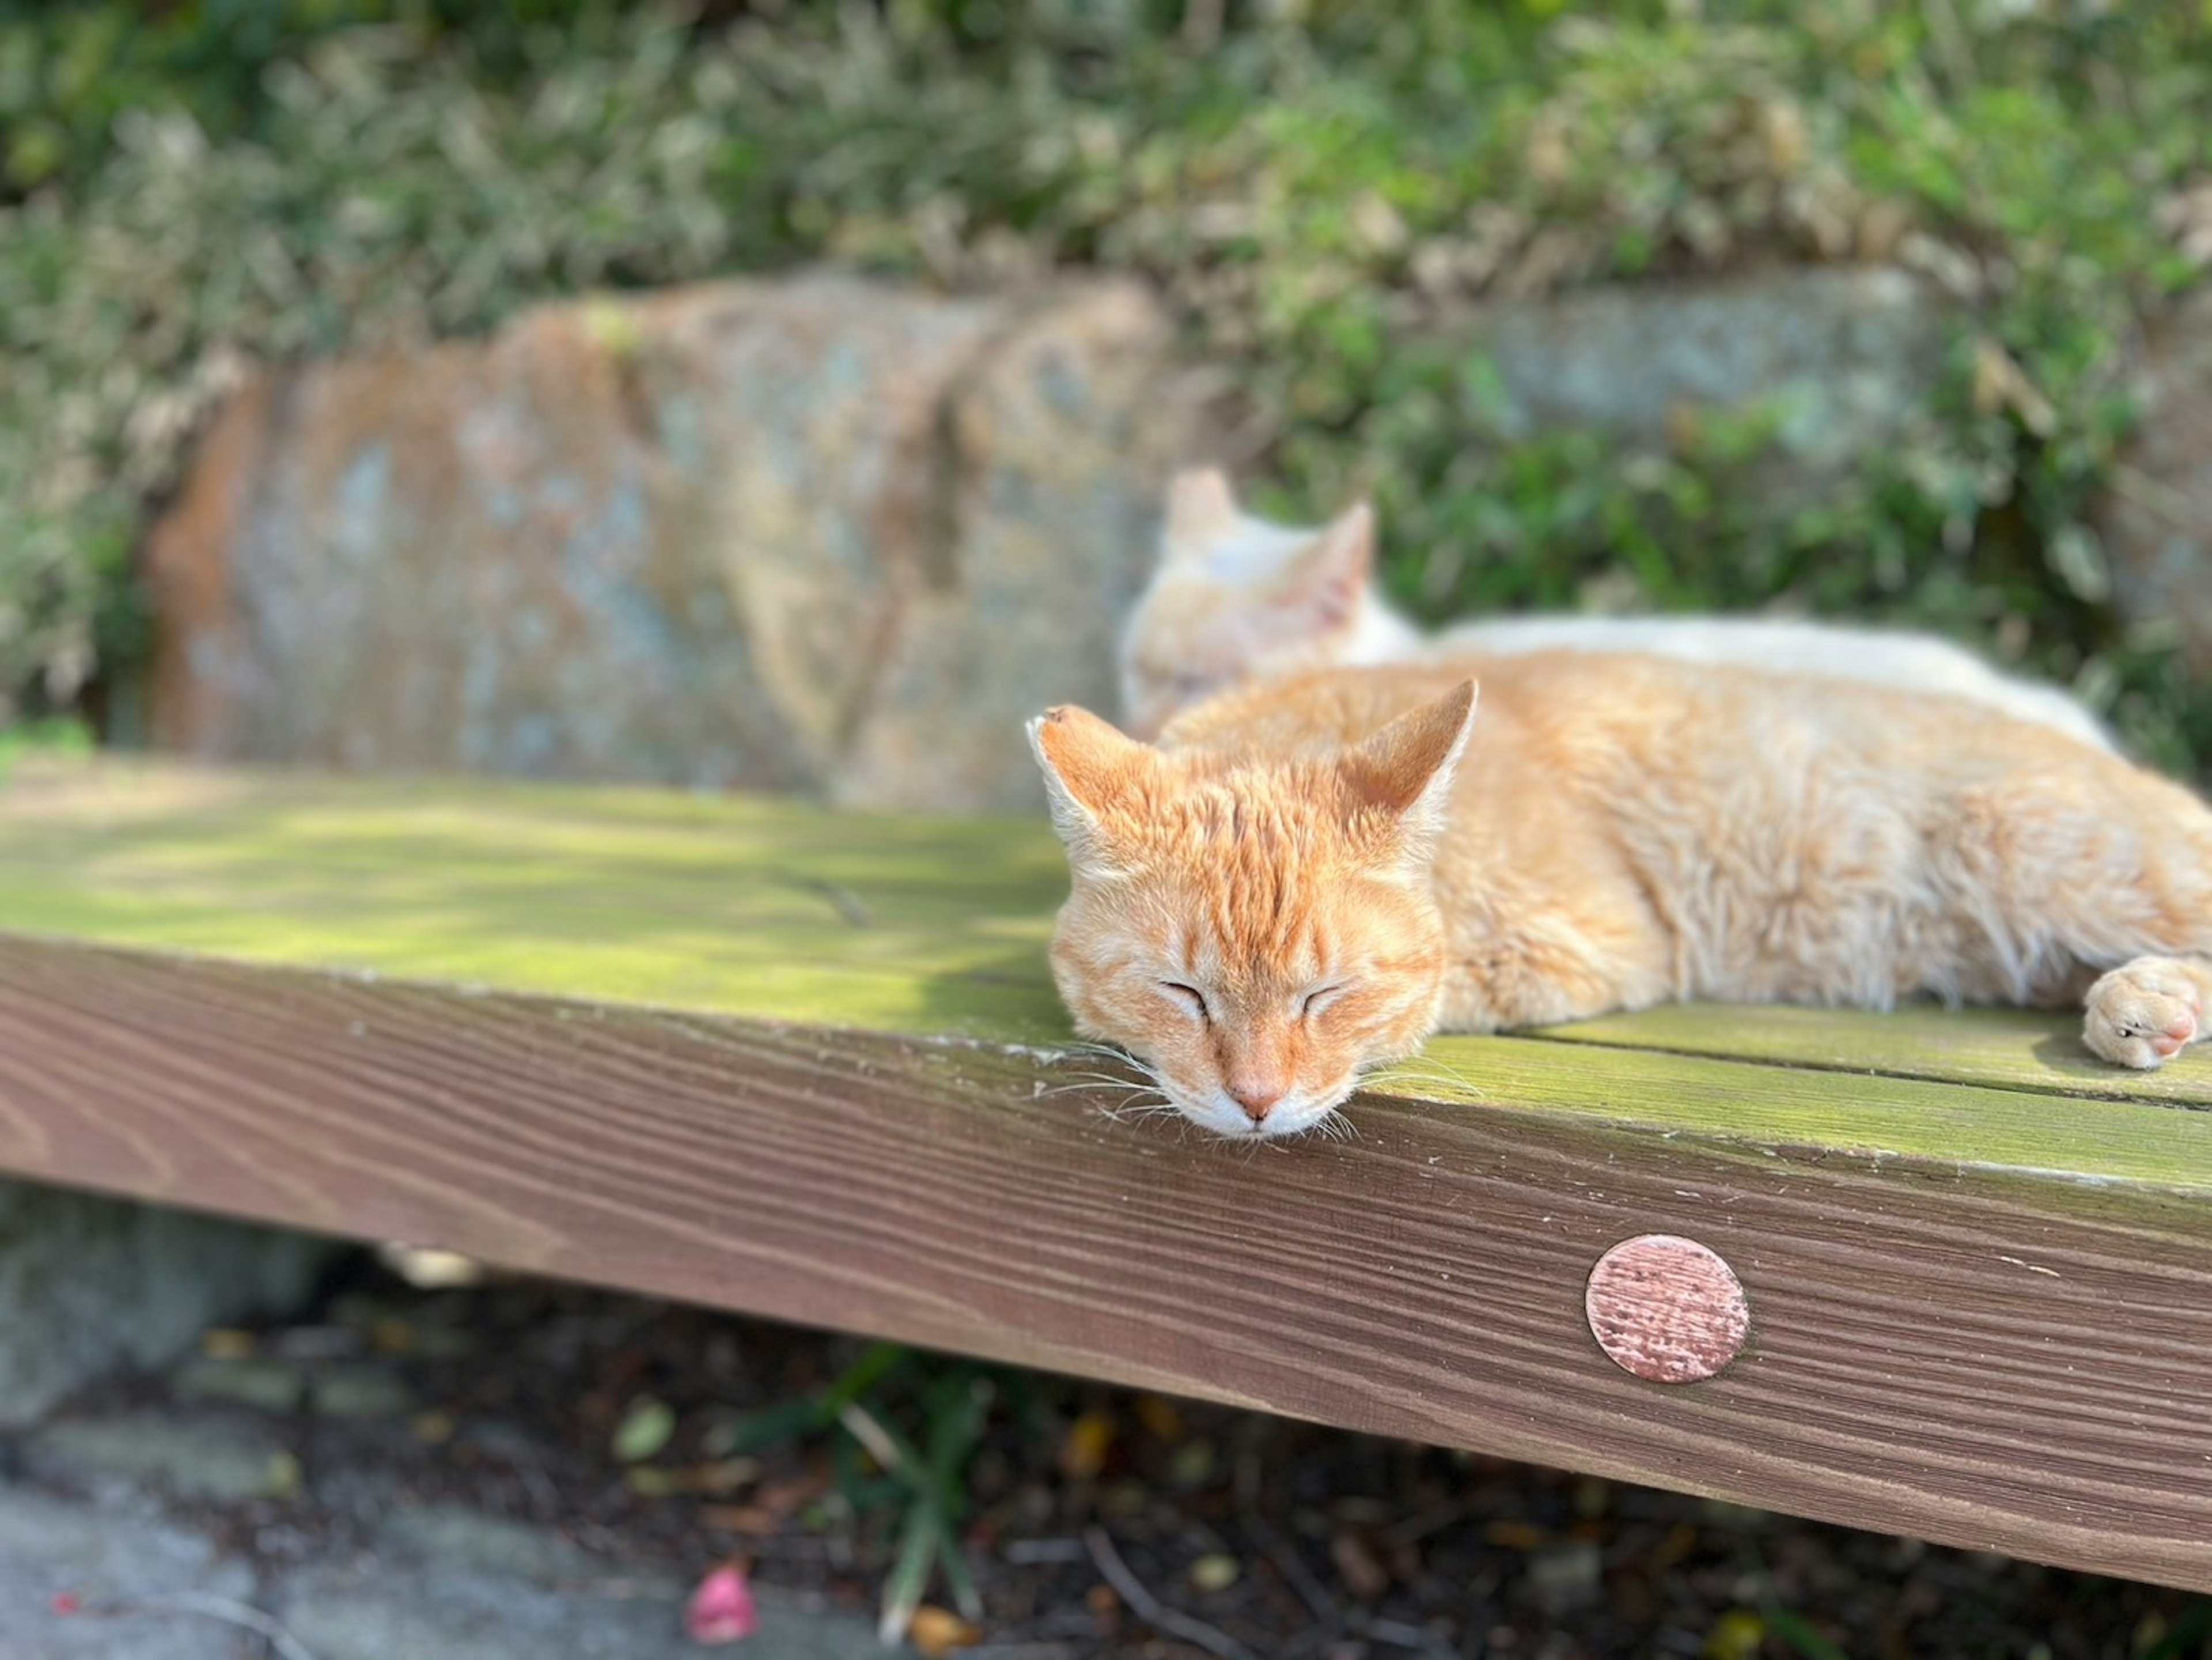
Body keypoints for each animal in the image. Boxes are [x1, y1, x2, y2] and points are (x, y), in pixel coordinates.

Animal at [1026, 655, 2212, 1142]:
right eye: (1184, 993)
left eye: (1328, 995)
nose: (1258, 1103)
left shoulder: (1598, 942)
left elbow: (1436, 996)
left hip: (2041, 849)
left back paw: (2147, 1000)